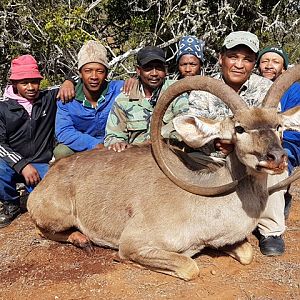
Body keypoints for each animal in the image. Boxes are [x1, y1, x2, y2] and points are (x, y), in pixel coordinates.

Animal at [27, 64, 300, 280]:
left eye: (278, 126)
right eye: (240, 129)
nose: (276, 158)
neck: (203, 199)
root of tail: (49, 177)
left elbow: (246, 253)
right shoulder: (134, 244)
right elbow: (190, 267)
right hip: (59, 217)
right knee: (44, 230)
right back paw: (81, 239)